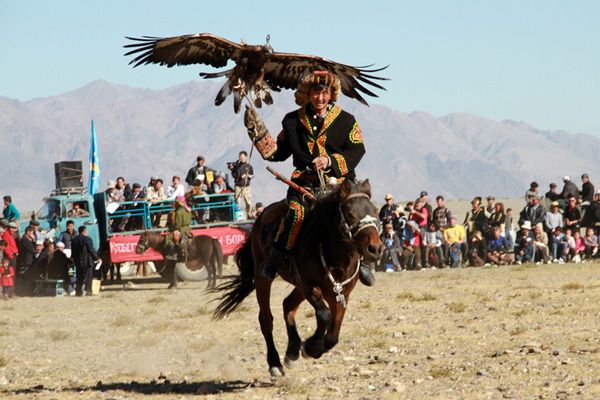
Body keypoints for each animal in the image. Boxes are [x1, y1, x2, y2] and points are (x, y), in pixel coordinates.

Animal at [211, 180, 384, 376]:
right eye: (349, 213)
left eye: (375, 211)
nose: (375, 249)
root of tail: (259, 219)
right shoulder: (309, 286)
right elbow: (324, 315)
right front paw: (310, 347)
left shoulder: (341, 293)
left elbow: (333, 336)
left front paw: (311, 348)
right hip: (263, 277)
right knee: (266, 318)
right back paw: (275, 363)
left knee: (288, 304)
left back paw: (292, 350)